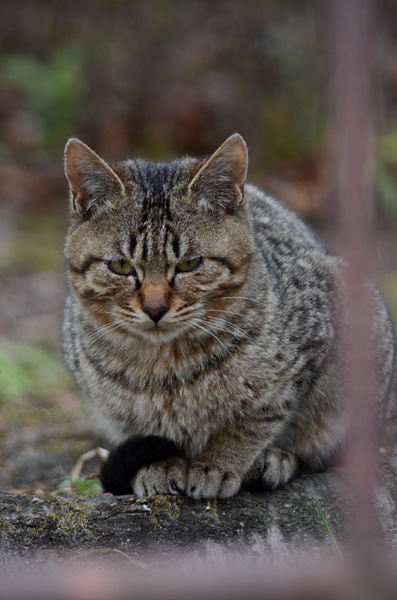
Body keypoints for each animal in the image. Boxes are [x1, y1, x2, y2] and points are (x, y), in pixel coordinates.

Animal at [63, 134, 394, 500]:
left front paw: (217, 463)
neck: (166, 368)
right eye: (120, 266)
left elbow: (252, 421)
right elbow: (148, 430)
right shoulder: (116, 411)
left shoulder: (301, 360)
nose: (154, 309)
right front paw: (161, 465)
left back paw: (274, 461)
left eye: (190, 264)